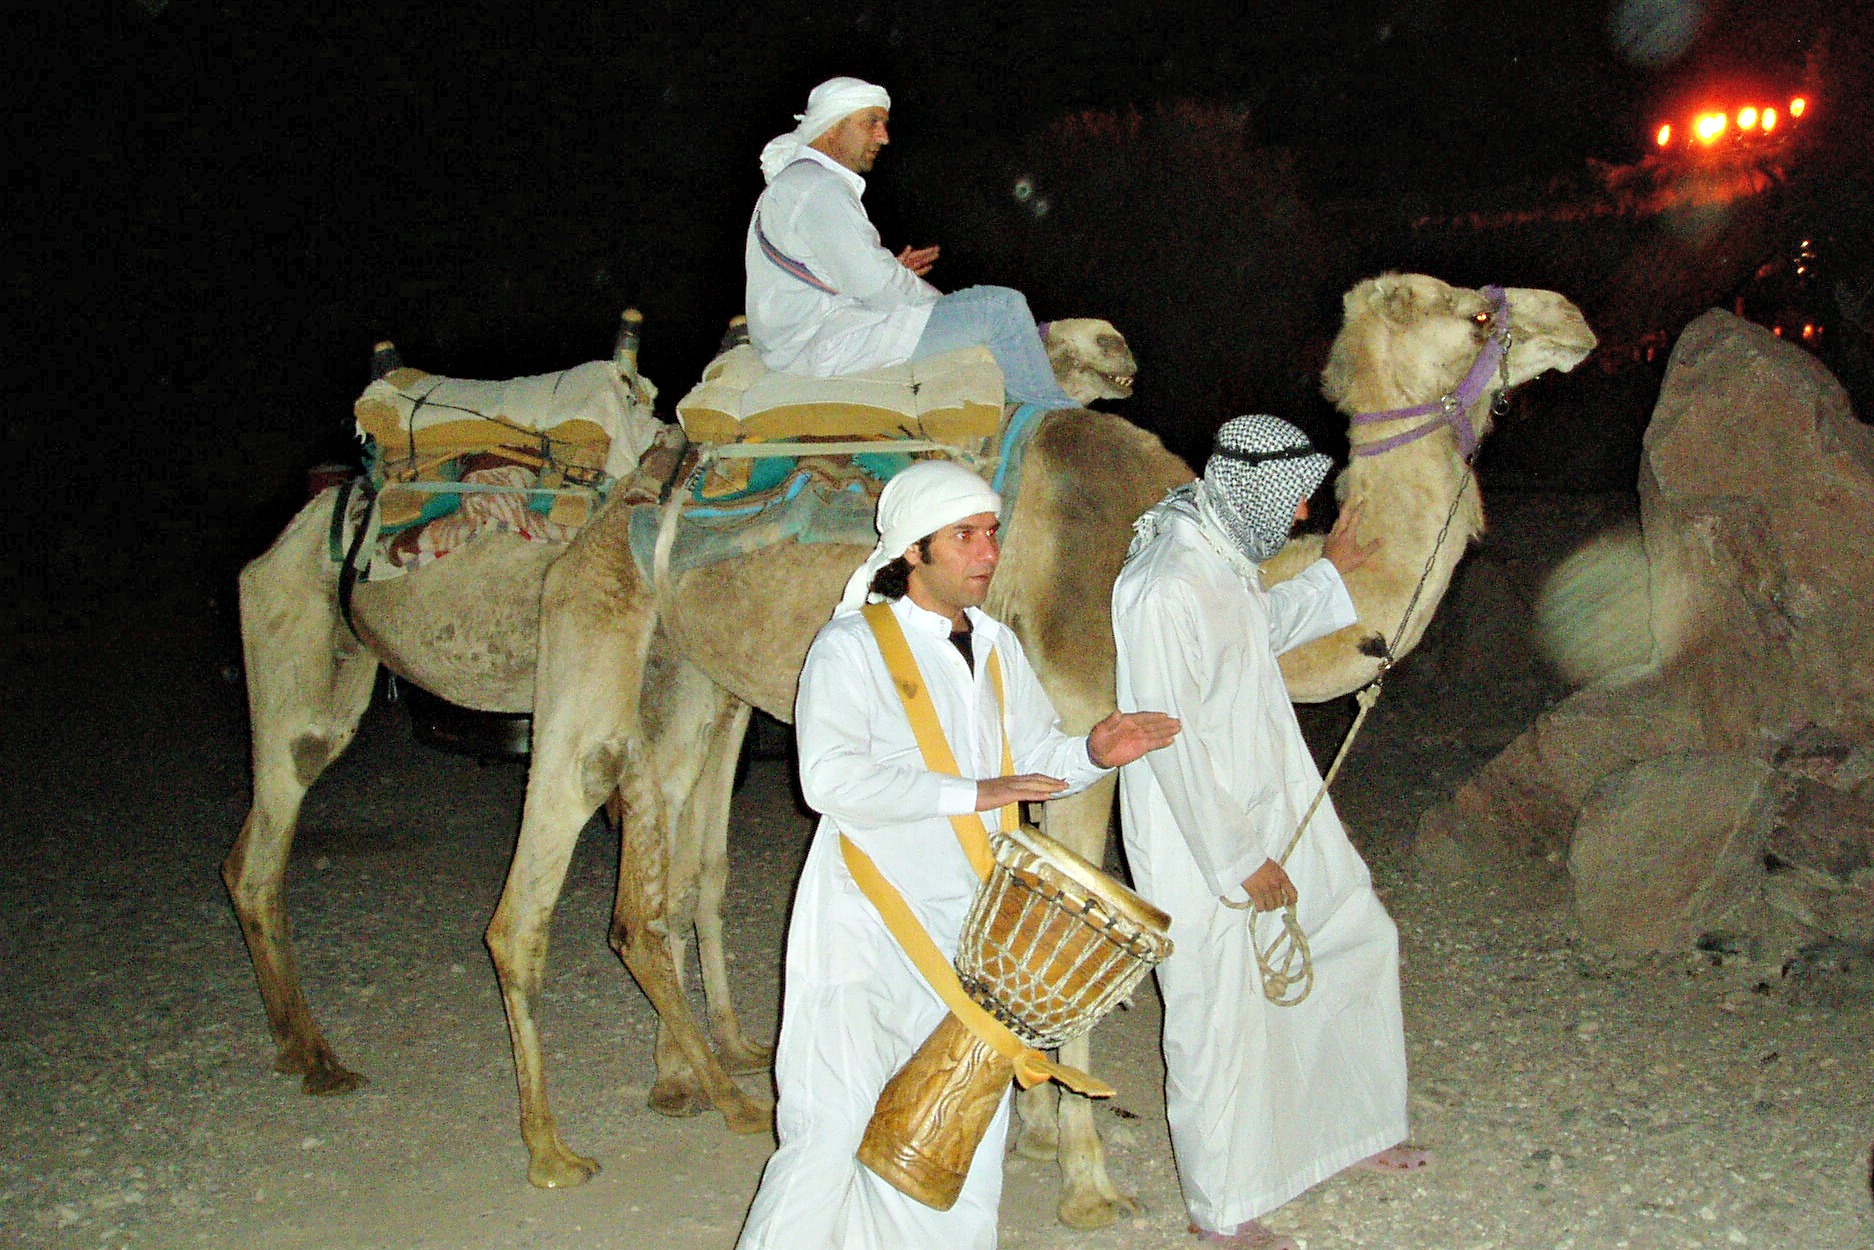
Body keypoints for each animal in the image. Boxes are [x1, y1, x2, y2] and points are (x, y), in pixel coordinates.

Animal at [223, 275, 1596, 1229]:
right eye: (1468, 304)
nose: (1573, 320)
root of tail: (626, 493)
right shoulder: (1092, 734)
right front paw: (1087, 1181)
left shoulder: (1035, 739)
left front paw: (1030, 1130)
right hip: (552, 658)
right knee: (502, 892)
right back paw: (560, 1137)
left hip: (689, 681)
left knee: (653, 886)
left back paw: (682, 1076)